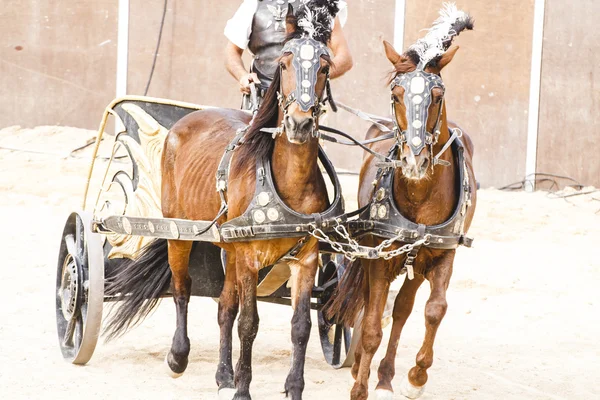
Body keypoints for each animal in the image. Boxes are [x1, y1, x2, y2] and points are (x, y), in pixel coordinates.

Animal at [103, 2, 342, 396]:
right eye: (284, 64)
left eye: (324, 67)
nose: (299, 124)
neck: (287, 183)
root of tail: (187, 122)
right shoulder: (248, 258)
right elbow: (249, 323)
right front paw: (244, 389)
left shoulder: (305, 259)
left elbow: (300, 326)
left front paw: (292, 387)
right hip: (180, 235)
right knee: (182, 289)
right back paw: (179, 356)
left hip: (228, 251)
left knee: (224, 307)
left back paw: (223, 375)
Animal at [326, 8, 476, 400]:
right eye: (396, 94)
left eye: (437, 95)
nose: (414, 159)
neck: (421, 193)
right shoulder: (380, 253)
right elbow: (372, 323)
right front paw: (359, 385)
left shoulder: (443, 252)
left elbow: (434, 310)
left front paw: (416, 376)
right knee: (372, 305)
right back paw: (362, 367)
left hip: (416, 261)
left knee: (403, 308)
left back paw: (386, 375)